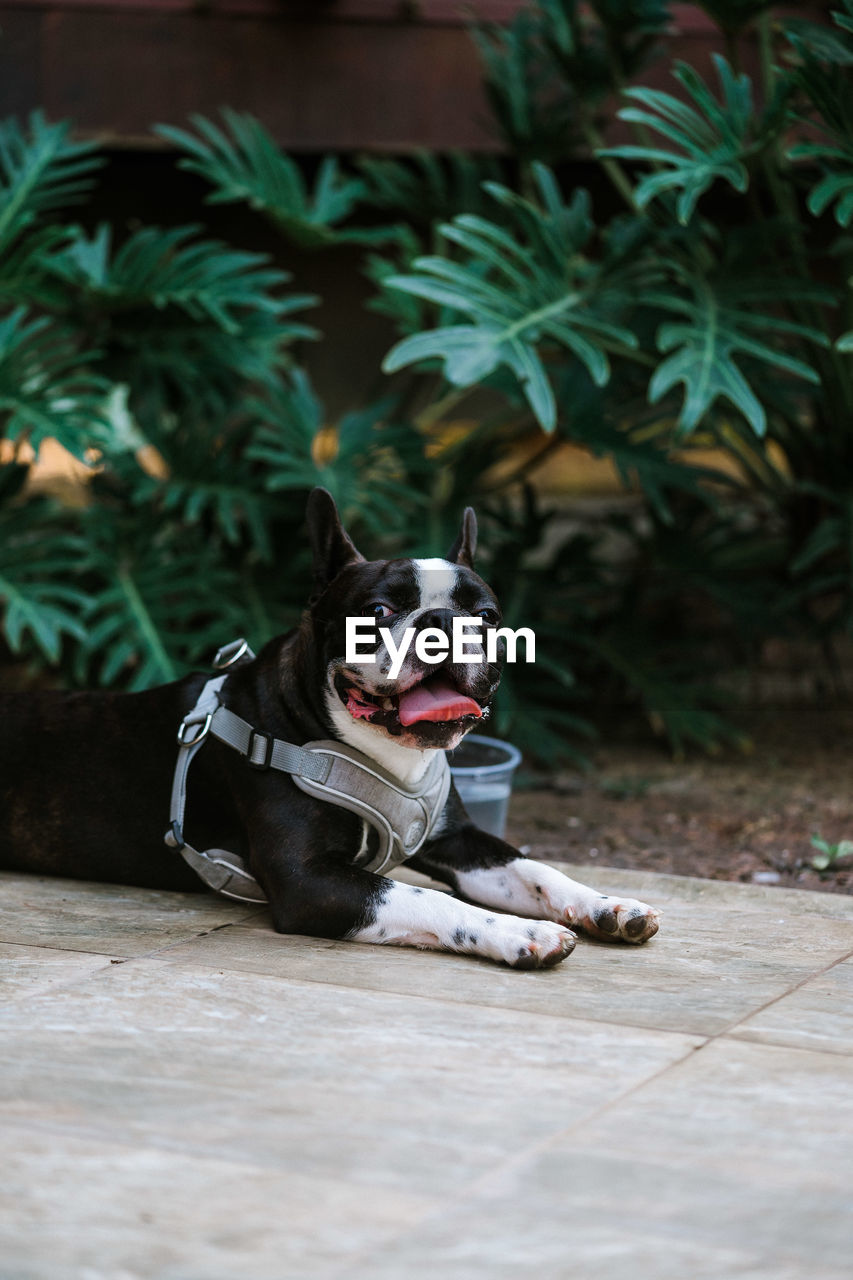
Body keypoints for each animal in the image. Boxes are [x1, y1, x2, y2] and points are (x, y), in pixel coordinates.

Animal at [0, 488, 655, 967]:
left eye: (488, 616)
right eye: (379, 611)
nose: (442, 620)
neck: (382, 756)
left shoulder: (460, 842)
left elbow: (535, 869)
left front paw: (607, 906)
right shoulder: (310, 881)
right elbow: (428, 898)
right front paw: (520, 933)